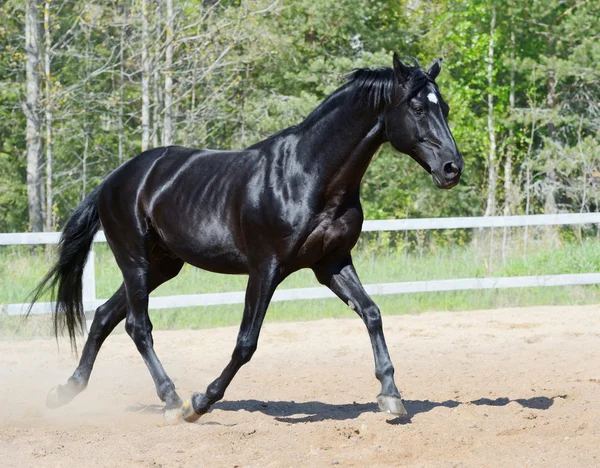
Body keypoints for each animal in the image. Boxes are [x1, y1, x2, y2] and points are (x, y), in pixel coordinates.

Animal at [29, 53, 464, 422]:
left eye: (443, 106)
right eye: (418, 107)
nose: (452, 168)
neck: (309, 175)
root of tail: (113, 179)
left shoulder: (331, 263)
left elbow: (372, 313)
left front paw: (390, 395)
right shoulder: (266, 268)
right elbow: (246, 342)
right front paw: (201, 402)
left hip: (162, 266)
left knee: (104, 316)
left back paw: (65, 391)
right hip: (134, 260)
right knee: (138, 326)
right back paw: (172, 400)